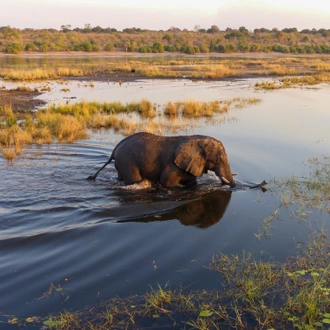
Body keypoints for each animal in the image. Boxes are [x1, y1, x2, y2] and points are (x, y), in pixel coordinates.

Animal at [87, 131, 236, 188]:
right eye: (219, 159)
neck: (197, 139)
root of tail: (115, 149)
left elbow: (191, 183)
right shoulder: (173, 166)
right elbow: (167, 183)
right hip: (127, 161)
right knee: (134, 179)